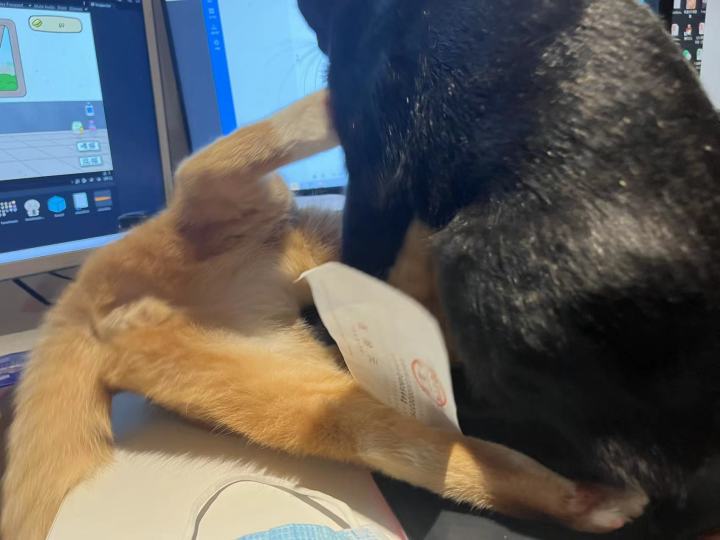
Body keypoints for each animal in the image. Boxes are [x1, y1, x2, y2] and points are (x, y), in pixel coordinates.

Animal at [0, 91, 644, 540]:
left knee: (446, 457)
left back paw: (591, 503)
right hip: (244, 207)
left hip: (290, 393)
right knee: (214, 161)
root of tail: (83, 298)